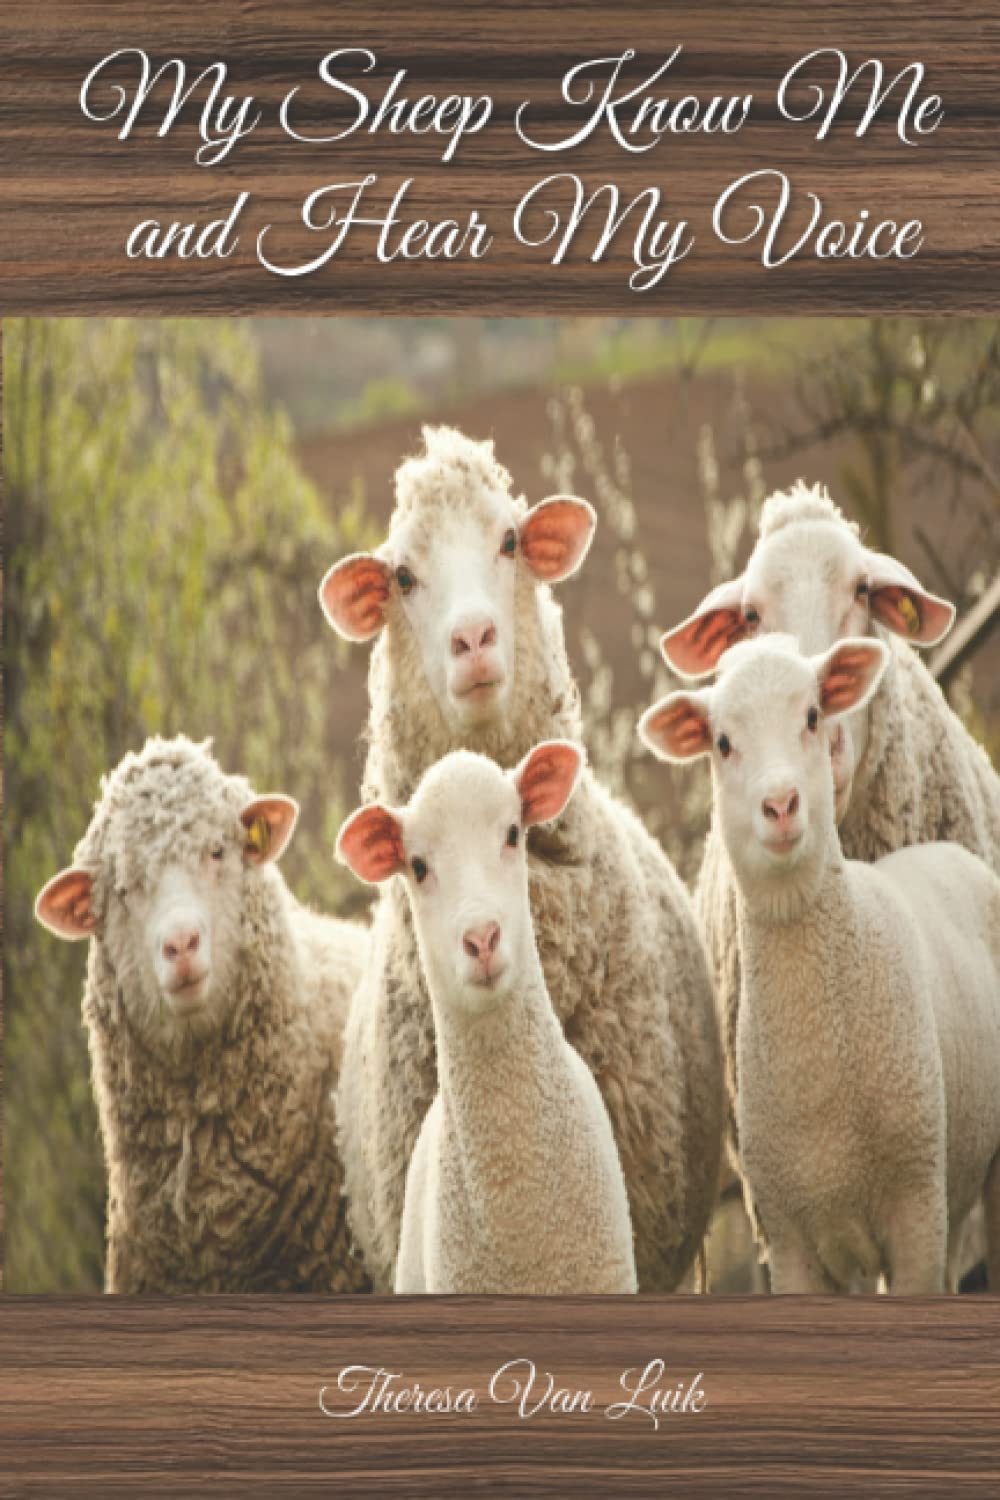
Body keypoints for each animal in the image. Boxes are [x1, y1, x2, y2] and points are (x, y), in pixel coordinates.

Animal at [640, 635, 1000, 1293]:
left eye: (811, 716)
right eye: (722, 742)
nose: (781, 804)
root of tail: (944, 852)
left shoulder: (913, 1210)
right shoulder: (790, 1238)